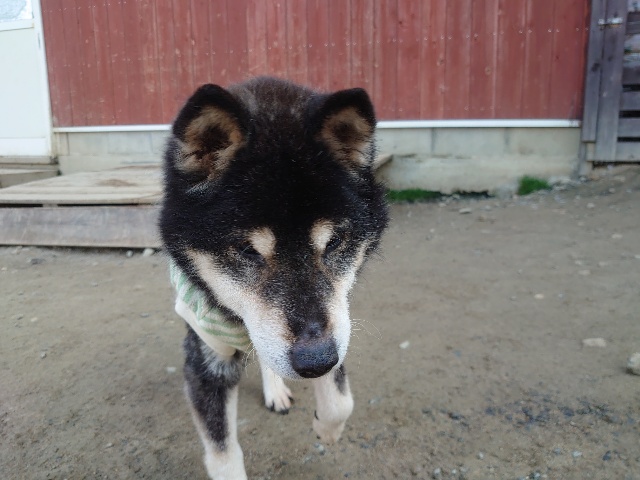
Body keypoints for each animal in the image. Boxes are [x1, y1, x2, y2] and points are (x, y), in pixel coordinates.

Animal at [159, 76, 388, 479]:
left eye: (334, 242)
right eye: (247, 250)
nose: (315, 362)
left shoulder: (335, 324)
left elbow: (341, 400)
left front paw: (327, 428)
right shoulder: (207, 357)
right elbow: (223, 455)